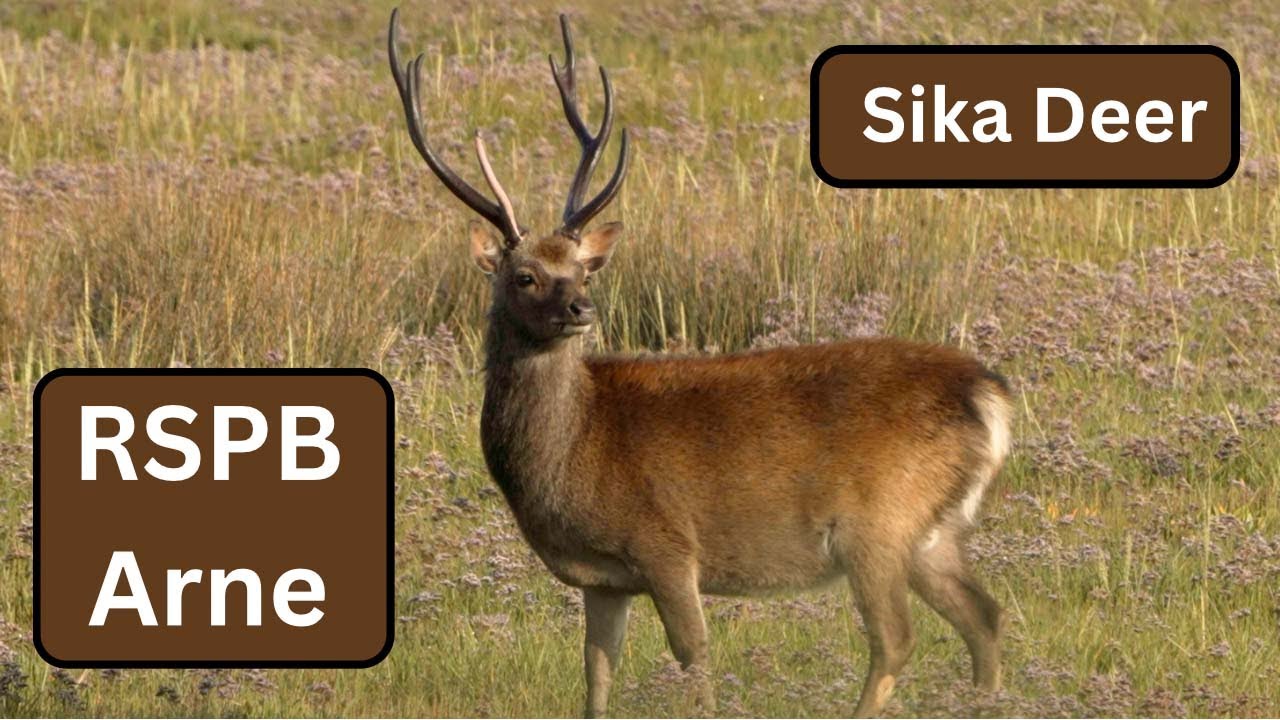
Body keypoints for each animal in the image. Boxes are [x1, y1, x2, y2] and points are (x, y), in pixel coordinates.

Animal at [387, 9, 1013, 717]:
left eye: (581, 268)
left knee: (897, 639)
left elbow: (695, 660)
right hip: (932, 532)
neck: (573, 454)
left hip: (880, 521)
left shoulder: (666, 543)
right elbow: (595, 676)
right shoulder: (604, 579)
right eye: (525, 276)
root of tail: (987, 393)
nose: (582, 307)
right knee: (984, 616)